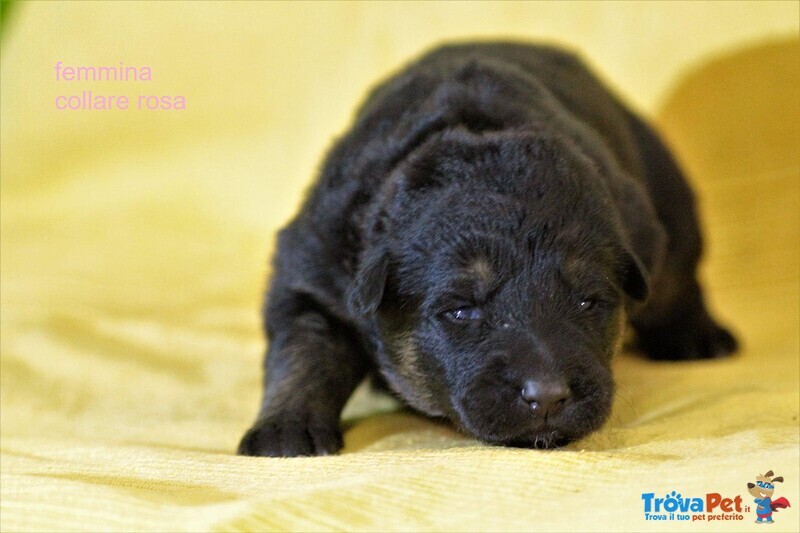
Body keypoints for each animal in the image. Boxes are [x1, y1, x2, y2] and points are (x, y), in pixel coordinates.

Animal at [238, 42, 736, 458]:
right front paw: (286, 428)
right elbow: (306, 349)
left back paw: (701, 337)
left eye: (588, 302)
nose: (547, 394)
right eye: (461, 311)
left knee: (675, 279)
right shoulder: (315, 265)